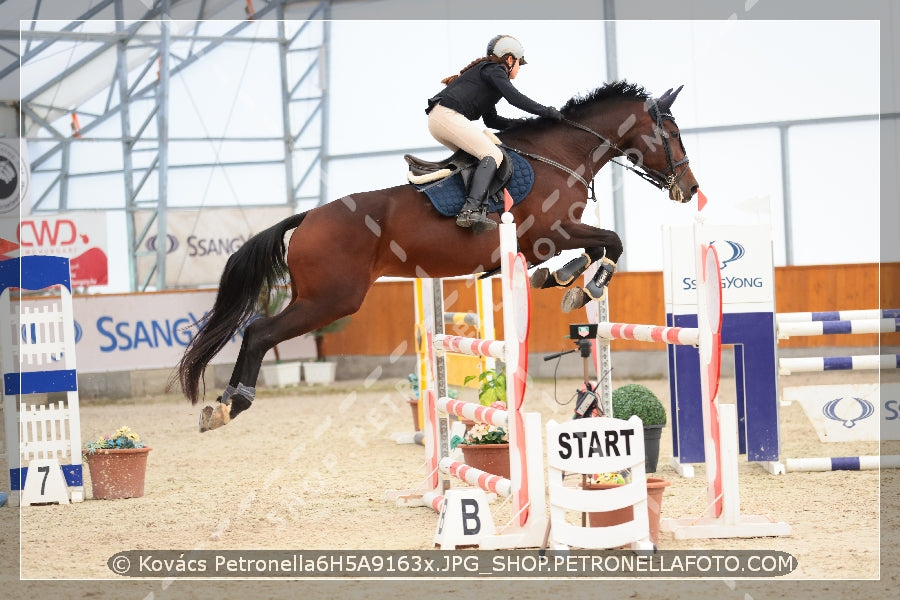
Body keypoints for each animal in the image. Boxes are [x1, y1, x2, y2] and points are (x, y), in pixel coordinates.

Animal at [172, 79, 700, 432]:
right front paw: (584, 284)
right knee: (259, 332)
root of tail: (305, 219)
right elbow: (611, 242)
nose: (690, 189)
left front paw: (567, 282)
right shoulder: (551, 232)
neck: (562, 153)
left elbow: (595, 247)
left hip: (319, 297)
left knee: (256, 332)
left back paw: (222, 403)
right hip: (331, 300)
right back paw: (230, 404)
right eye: (672, 133)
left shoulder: (545, 240)